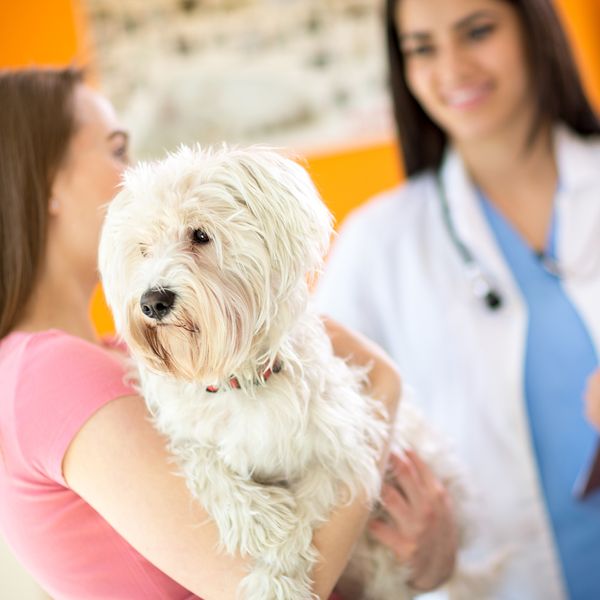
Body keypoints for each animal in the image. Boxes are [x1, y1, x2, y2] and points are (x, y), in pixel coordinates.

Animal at [98, 146, 472, 600]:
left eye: (200, 235)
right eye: (143, 249)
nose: (152, 302)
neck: (238, 381)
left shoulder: (345, 446)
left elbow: (311, 508)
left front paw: (278, 570)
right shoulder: (189, 436)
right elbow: (207, 467)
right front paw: (264, 525)